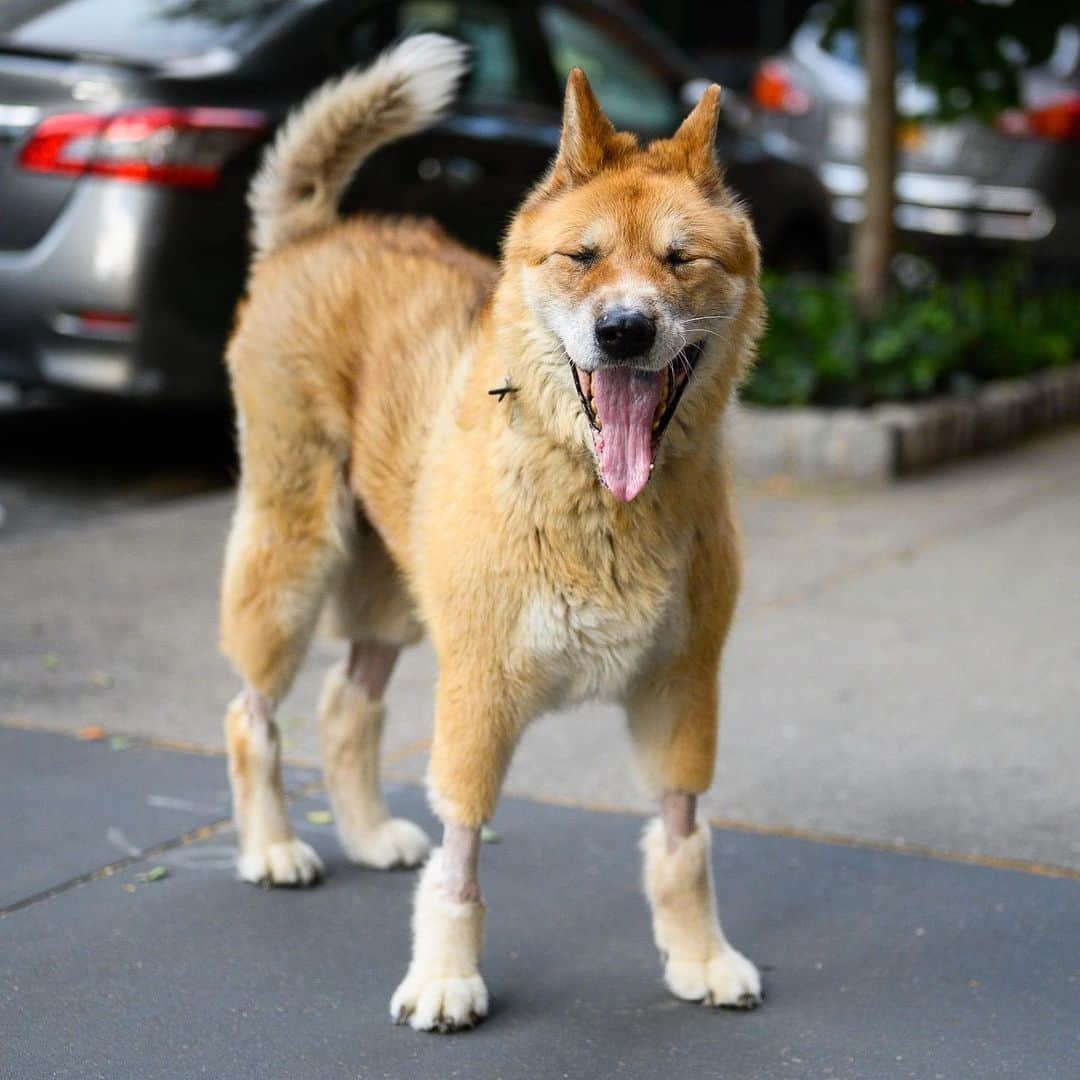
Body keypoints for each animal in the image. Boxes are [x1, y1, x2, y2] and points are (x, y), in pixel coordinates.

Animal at [219, 31, 764, 1028]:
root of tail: (317, 233)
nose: (624, 331)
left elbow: (681, 840)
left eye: (681, 260)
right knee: (252, 717)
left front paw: (699, 955)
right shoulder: (478, 688)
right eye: (581, 255)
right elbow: (460, 854)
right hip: (294, 560)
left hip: (393, 591)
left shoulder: (681, 688)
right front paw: (445, 974)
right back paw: (272, 847)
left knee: (345, 707)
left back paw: (367, 833)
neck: (600, 508)